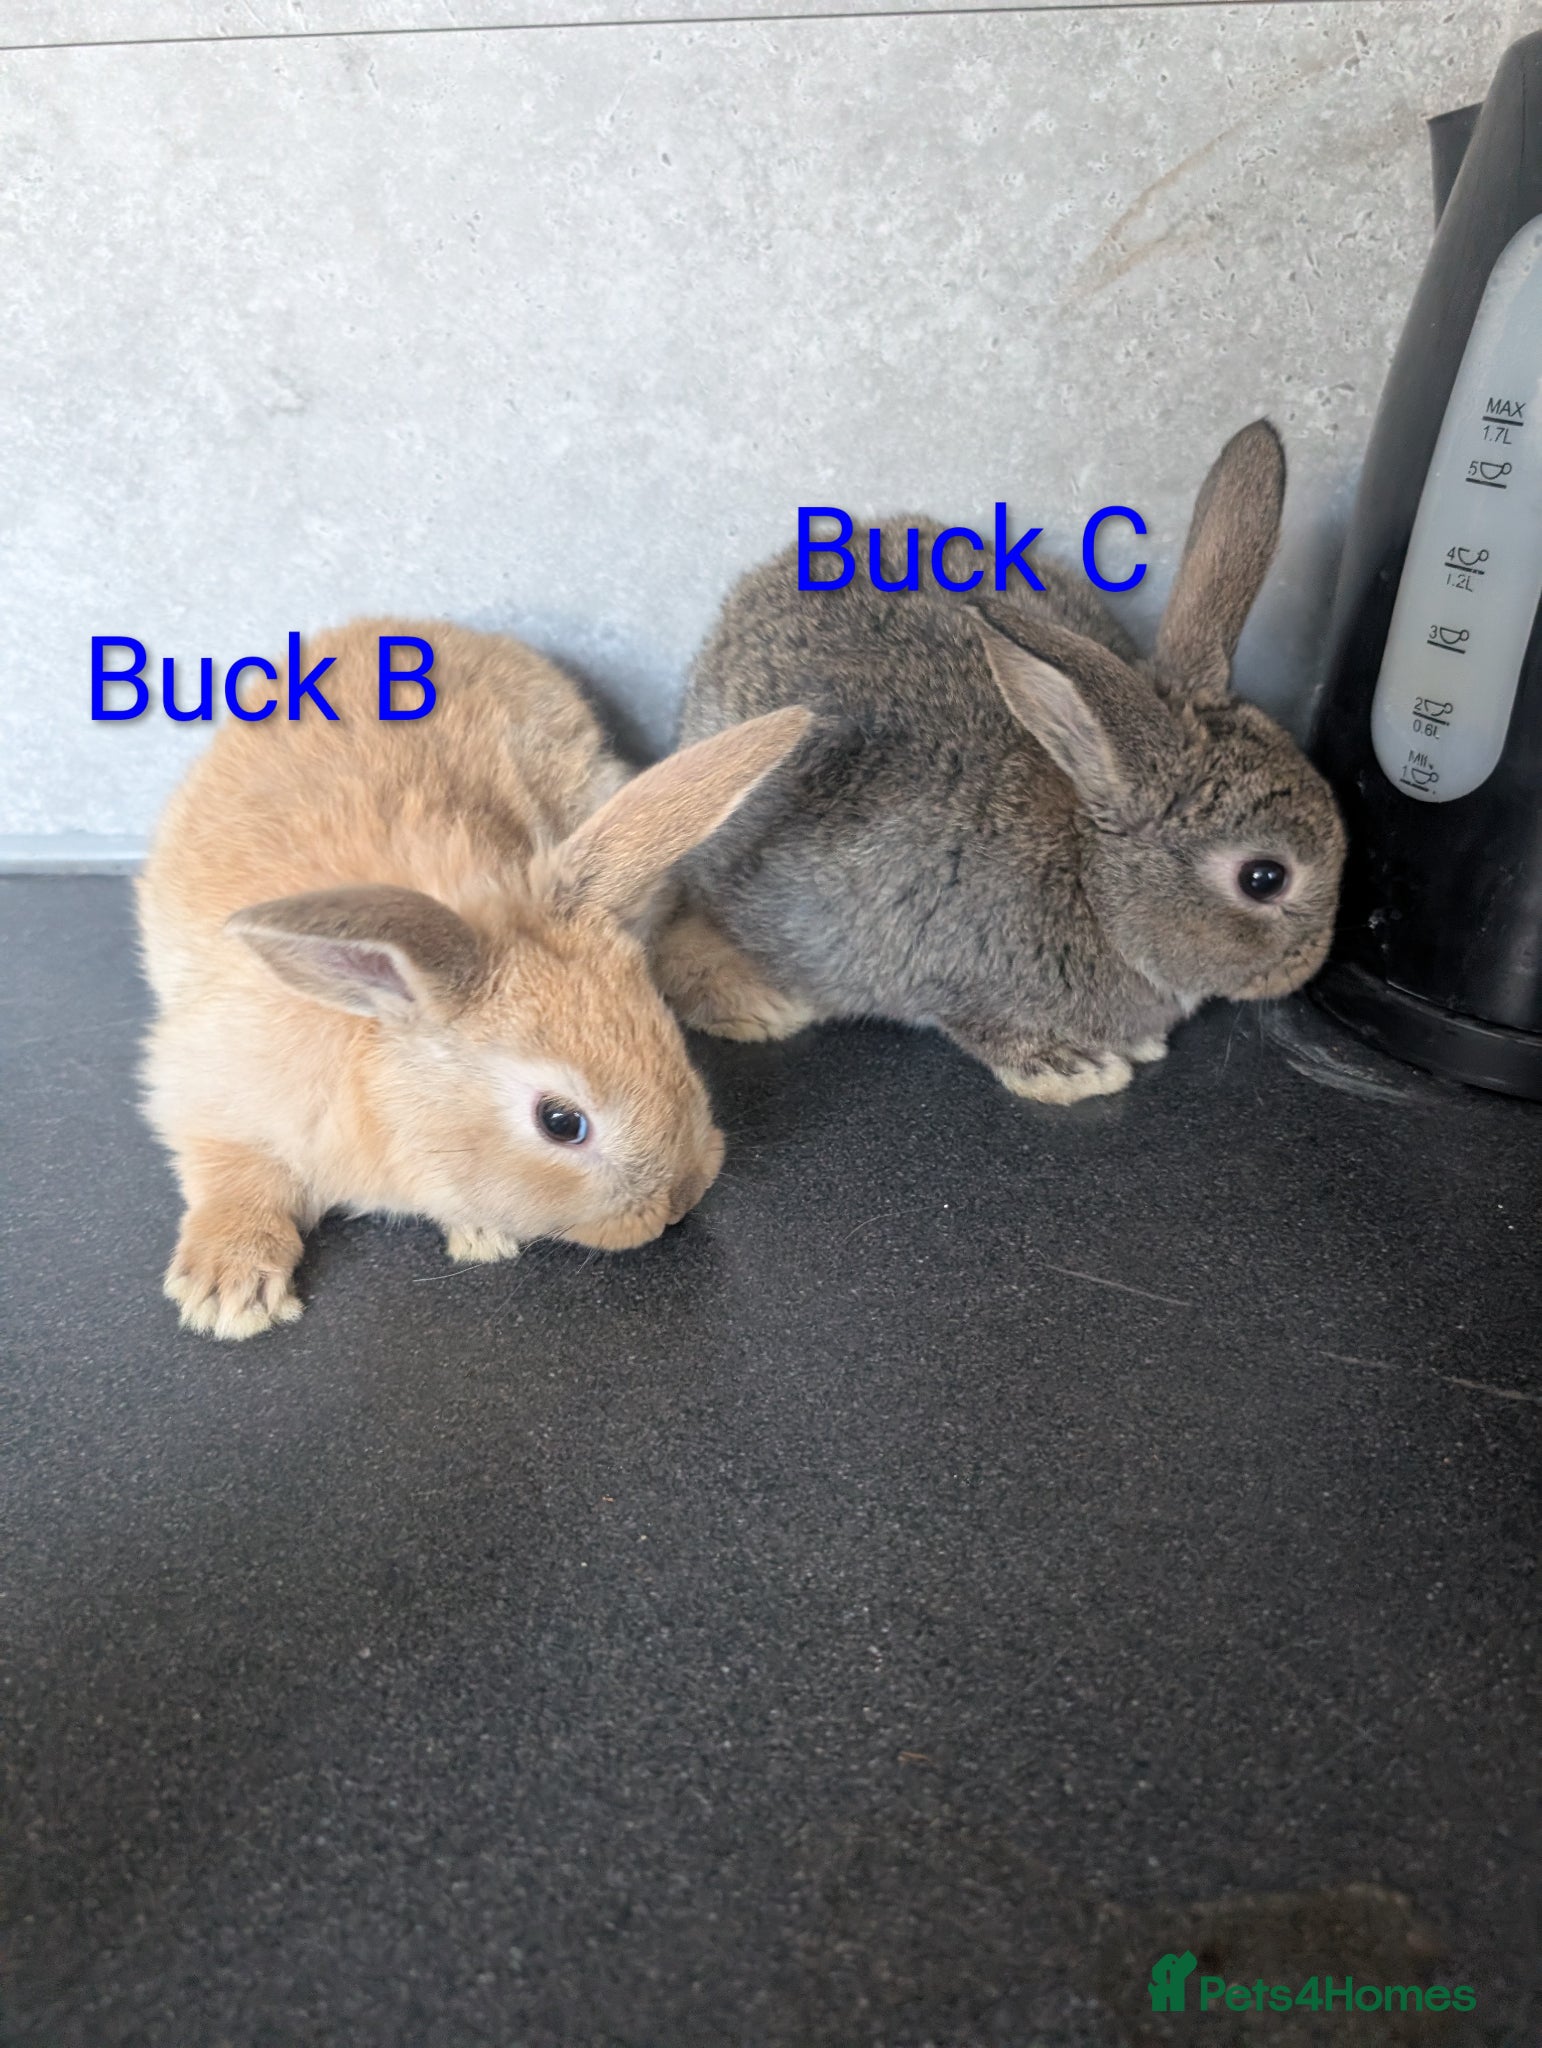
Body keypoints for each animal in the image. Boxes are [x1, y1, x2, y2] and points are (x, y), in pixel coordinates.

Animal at [137, 618, 810, 1339]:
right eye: (561, 1122)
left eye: (666, 1038)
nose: (680, 1200)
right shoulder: (214, 1087)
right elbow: (229, 1170)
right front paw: (228, 1293)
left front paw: (480, 1232)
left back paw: (760, 1001)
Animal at [656, 420, 1346, 1103]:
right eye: (1264, 878)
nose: (1308, 965)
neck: (1091, 878)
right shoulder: (950, 976)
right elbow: (985, 1030)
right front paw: (1074, 1071)